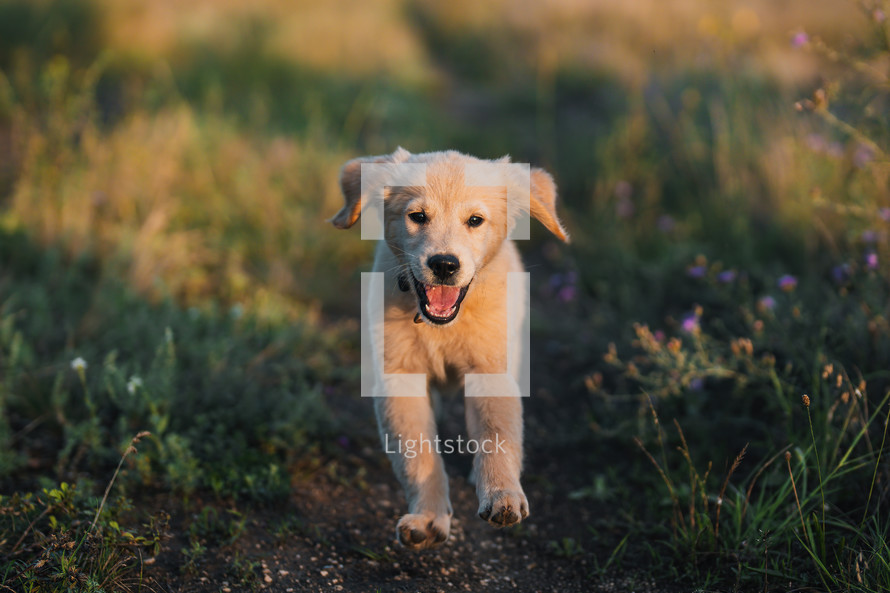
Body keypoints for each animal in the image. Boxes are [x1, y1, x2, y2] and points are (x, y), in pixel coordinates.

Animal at [330, 146, 564, 548]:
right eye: (417, 217)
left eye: (475, 220)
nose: (444, 265)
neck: (442, 327)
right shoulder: (400, 377)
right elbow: (418, 454)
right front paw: (428, 517)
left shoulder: (490, 370)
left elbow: (498, 432)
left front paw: (502, 494)